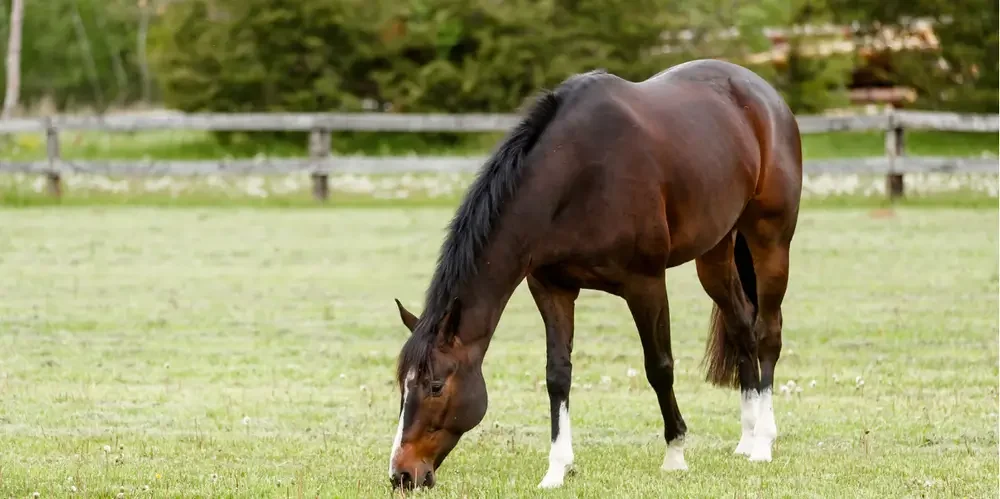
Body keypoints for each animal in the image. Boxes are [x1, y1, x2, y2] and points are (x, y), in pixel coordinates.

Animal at [387, 58, 802, 490]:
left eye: (435, 386)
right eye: (402, 384)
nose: (402, 473)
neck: (577, 173)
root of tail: (763, 95)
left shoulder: (646, 284)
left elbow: (659, 366)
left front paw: (675, 454)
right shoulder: (552, 287)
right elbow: (558, 375)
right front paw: (556, 469)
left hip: (770, 240)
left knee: (767, 333)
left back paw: (763, 443)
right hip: (715, 253)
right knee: (741, 327)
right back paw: (747, 437)